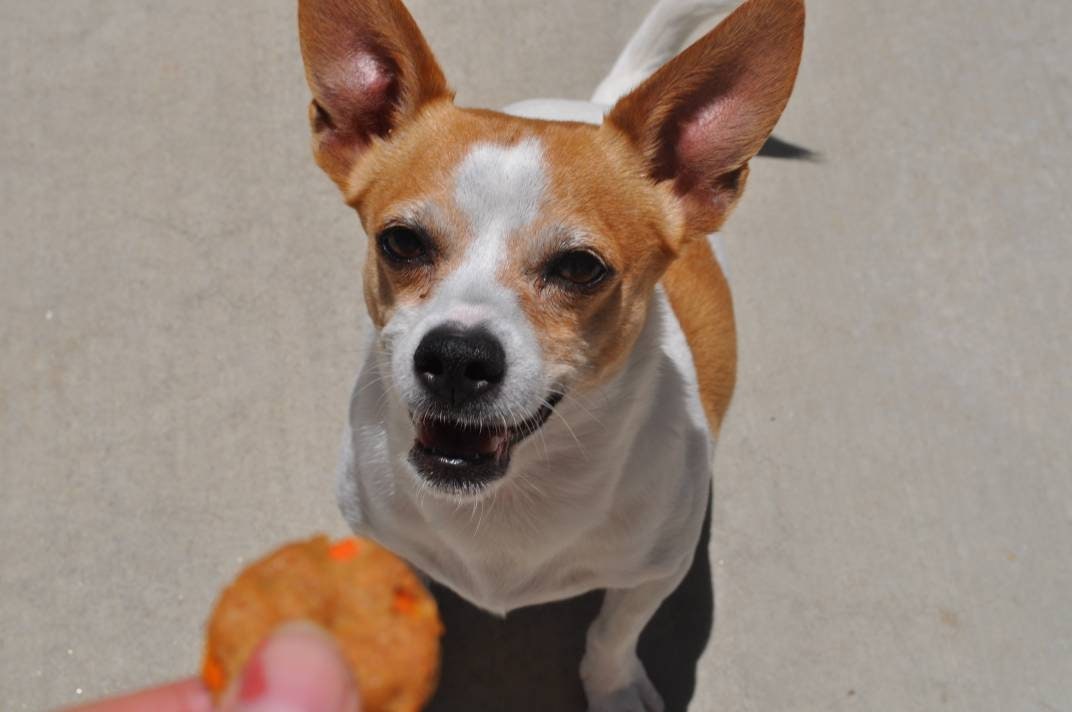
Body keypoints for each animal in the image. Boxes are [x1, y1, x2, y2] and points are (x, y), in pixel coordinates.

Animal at [298, 0, 801, 707]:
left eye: (580, 267)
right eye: (400, 242)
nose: (457, 357)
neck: (510, 497)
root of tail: (601, 101)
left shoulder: (654, 574)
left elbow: (613, 633)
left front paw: (613, 689)